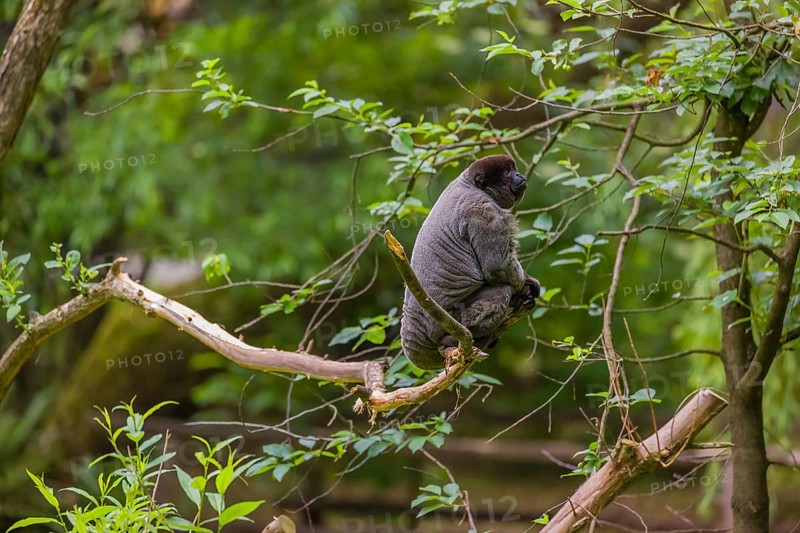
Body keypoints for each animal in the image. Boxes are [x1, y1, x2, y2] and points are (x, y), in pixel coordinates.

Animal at [400, 154, 540, 370]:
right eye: (507, 173)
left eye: (513, 169)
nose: (518, 175)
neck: (470, 184)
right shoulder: (485, 212)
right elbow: (496, 267)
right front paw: (526, 285)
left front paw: (527, 290)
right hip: (449, 319)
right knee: (500, 290)